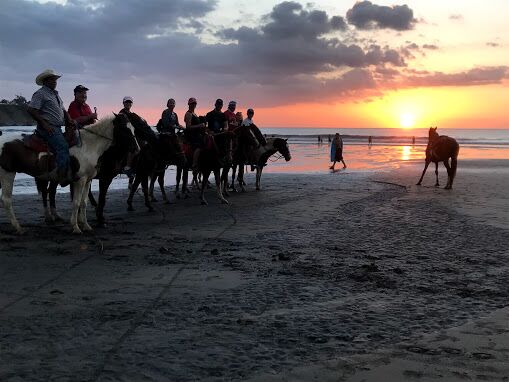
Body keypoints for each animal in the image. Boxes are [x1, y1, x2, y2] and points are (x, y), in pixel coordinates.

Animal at [0, 113, 137, 233]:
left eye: (133, 129)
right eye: (125, 129)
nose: (136, 149)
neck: (88, 146)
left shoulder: (88, 180)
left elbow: (84, 202)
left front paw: (86, 226)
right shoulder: (80, 179)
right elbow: (76, 202)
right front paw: (75, 227)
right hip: (7, 173)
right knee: (6, 200)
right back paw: (18, 227)